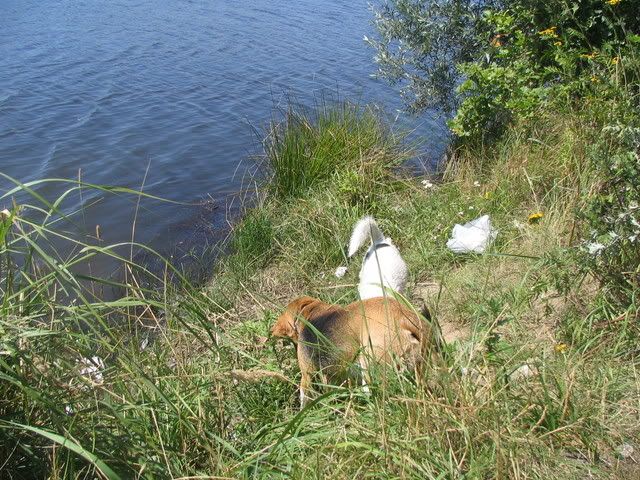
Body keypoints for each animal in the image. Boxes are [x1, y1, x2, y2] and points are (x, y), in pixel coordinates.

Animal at [271, 296, 437, 407]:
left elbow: (304, 396)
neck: (308, 310)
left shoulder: (307, 375)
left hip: (370, 366)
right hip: (418, 369)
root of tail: (402, 316)